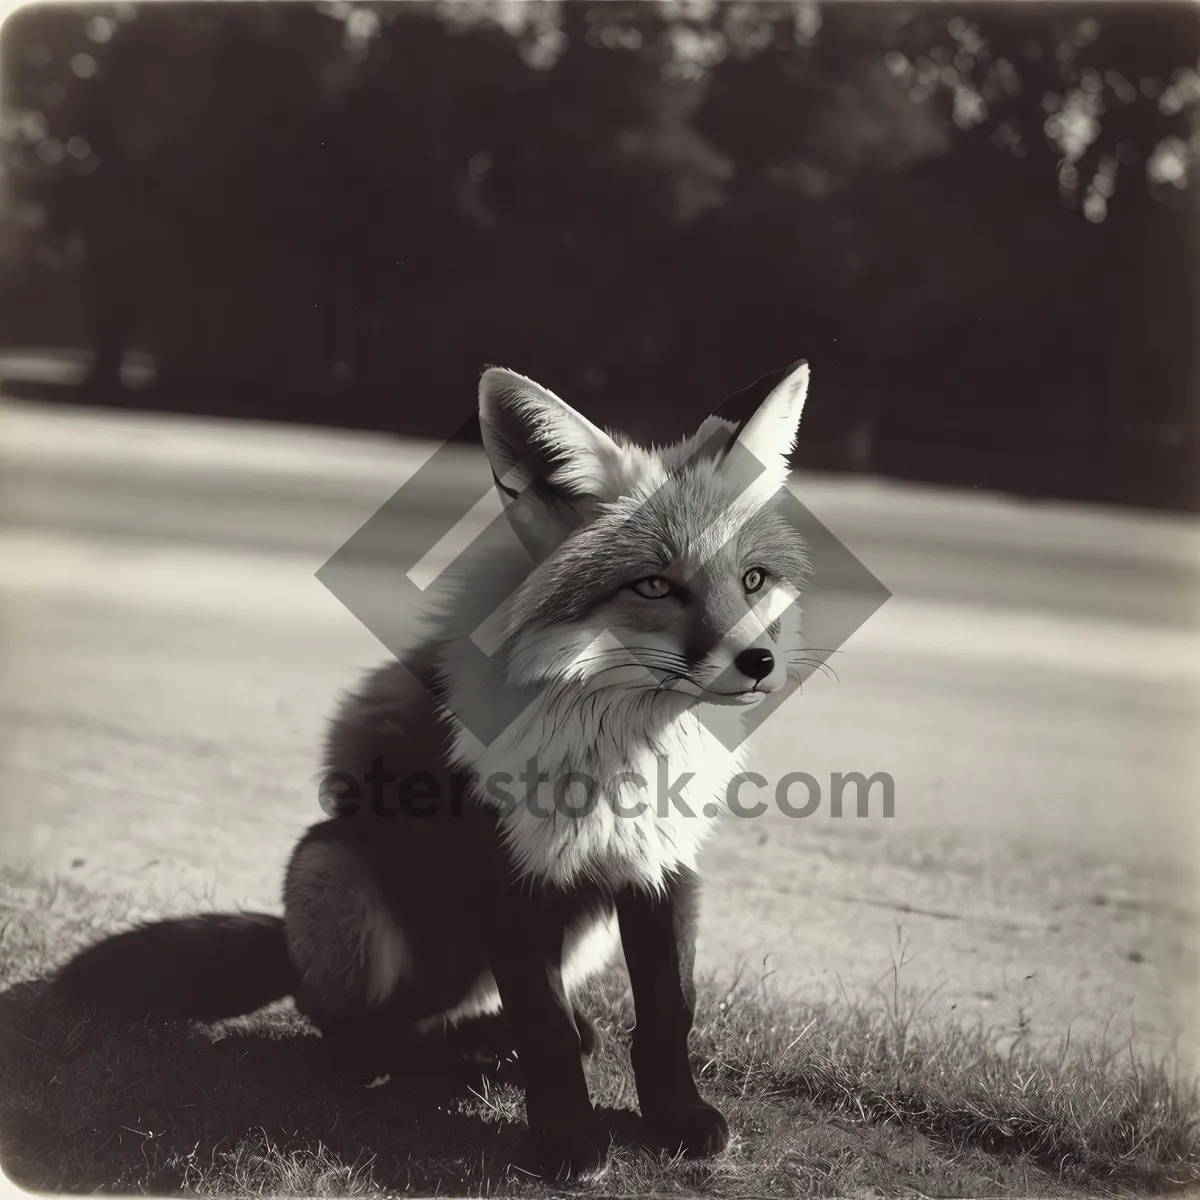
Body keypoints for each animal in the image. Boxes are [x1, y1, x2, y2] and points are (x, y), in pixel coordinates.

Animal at [51, 357, 811, 1180]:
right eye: (655, 586)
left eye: (753, 580)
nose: (759, 664)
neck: (617, 751)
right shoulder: (501, 873)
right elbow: (543, 1029)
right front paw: (565, 1139)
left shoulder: (661, 864)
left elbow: (667, 1013)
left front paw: (676, 1117)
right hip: (333, 865)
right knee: (362, 1027)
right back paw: (405, 1056)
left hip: (579, 922)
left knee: (469, 1017)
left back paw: (484, 1043)